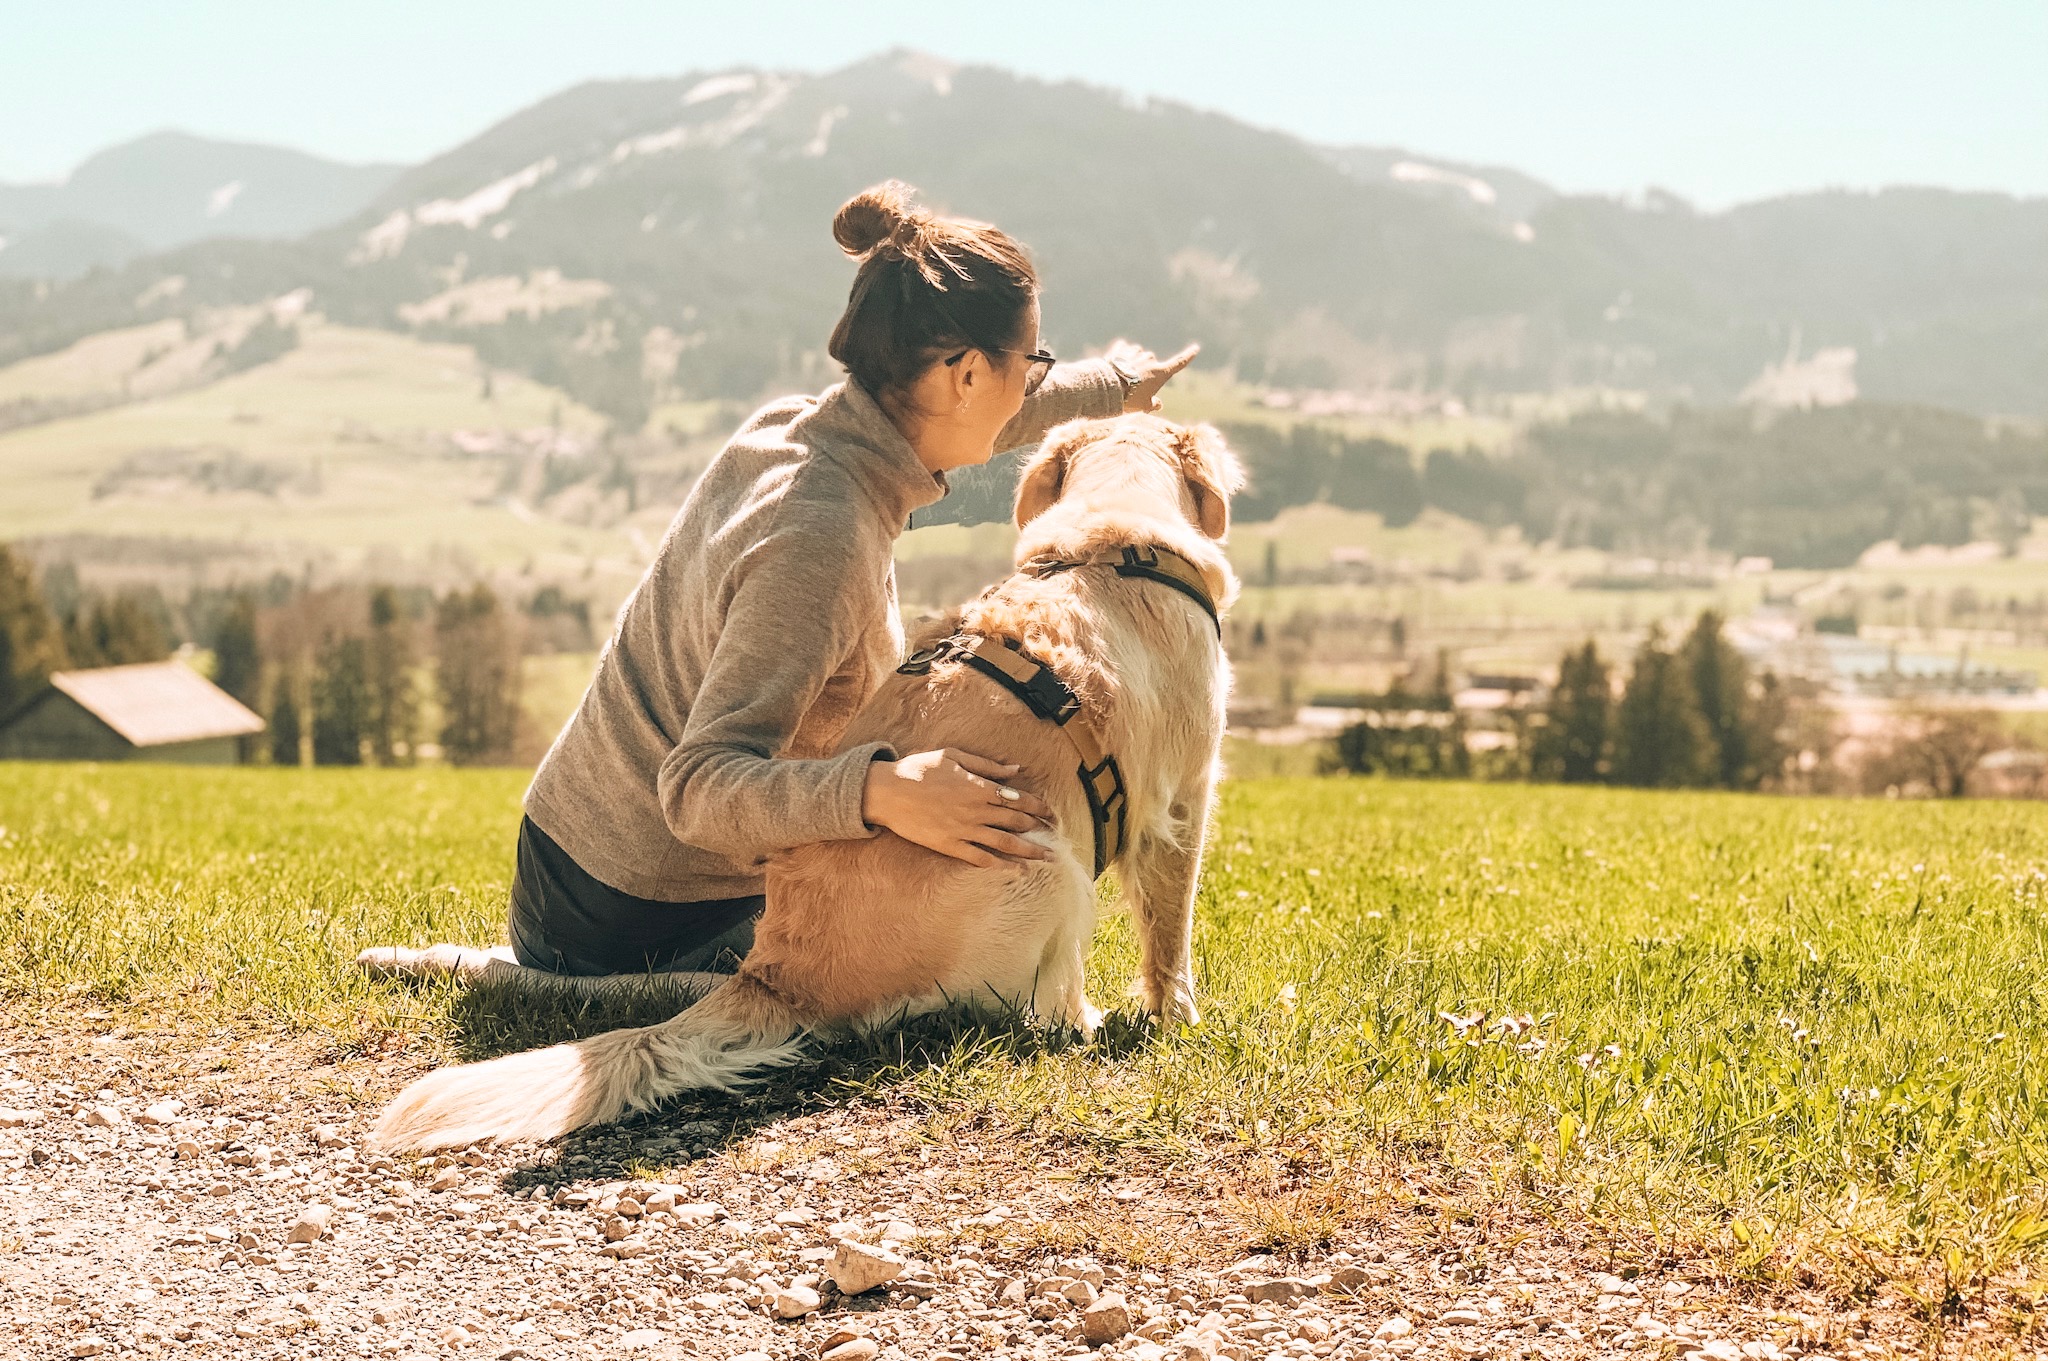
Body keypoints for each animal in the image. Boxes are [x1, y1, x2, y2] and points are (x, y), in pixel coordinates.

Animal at [368, 411, 1245, 1146]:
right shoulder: (1183, 795)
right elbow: (1170, 929)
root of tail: (778, 974)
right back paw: (1080, 1022)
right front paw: (1175, 1016)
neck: (1114, 547)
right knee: (1020, 1008)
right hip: (1046, 858)